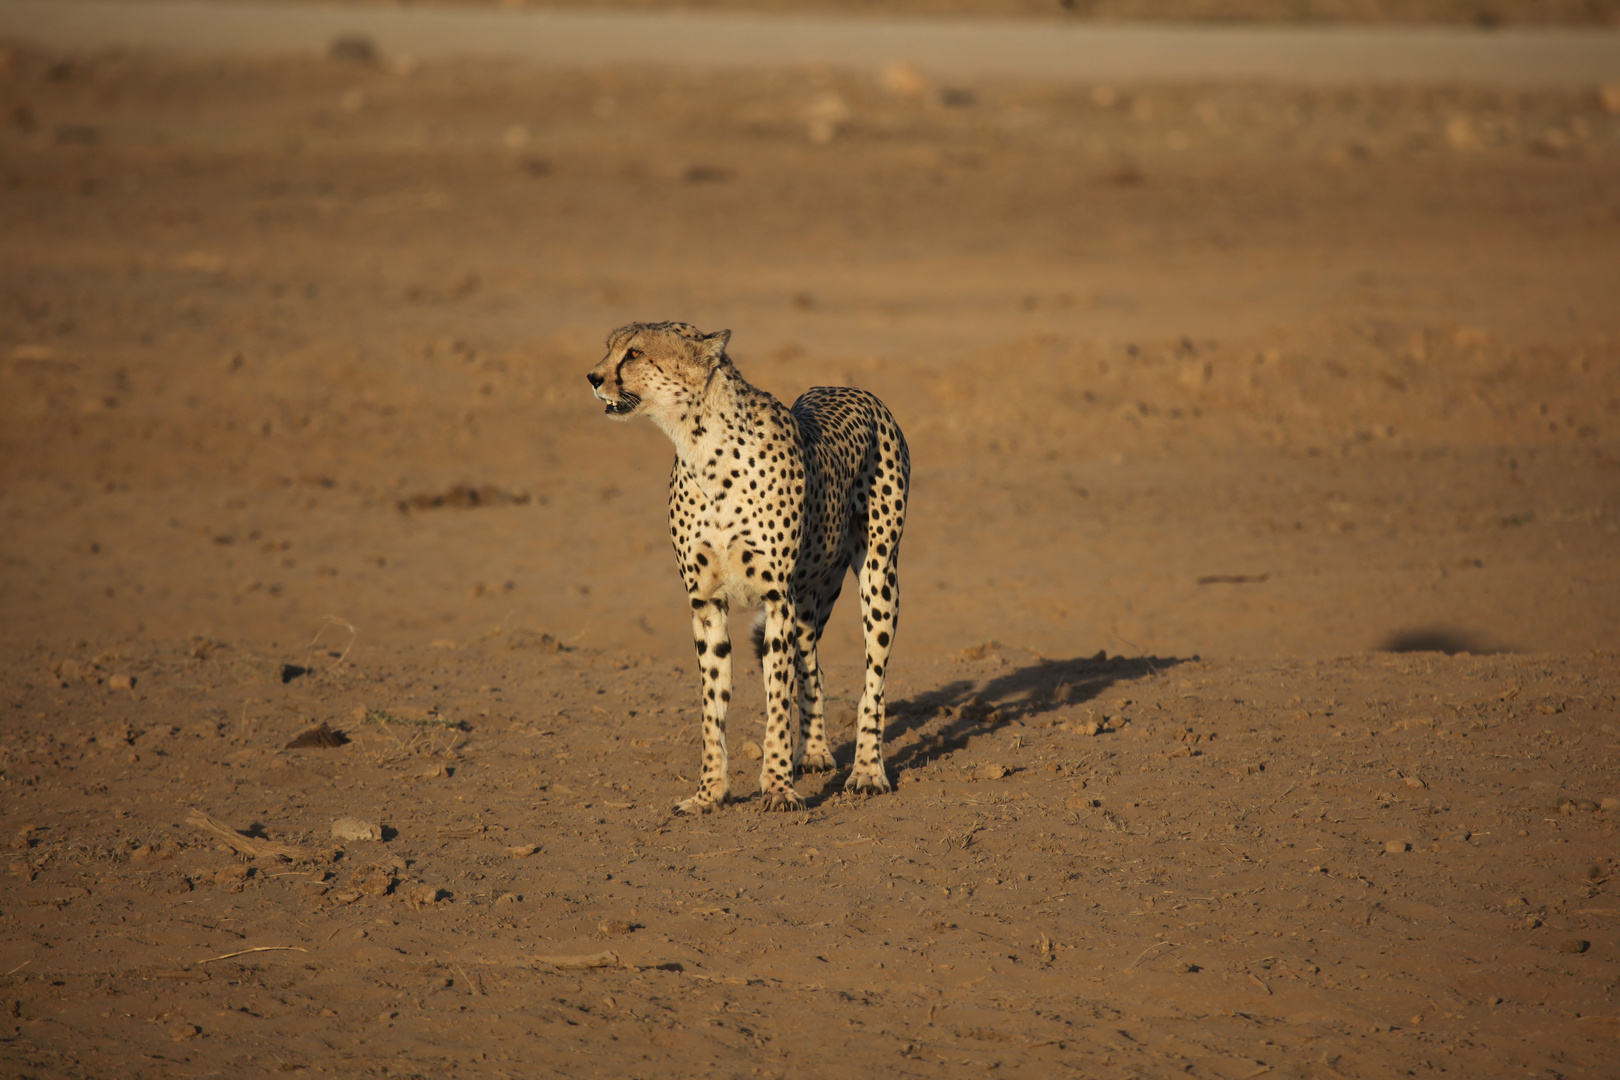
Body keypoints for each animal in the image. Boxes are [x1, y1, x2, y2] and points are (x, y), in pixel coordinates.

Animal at [586, 325, 913, 816]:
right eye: (610, 348)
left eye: (635, 353)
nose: (592, 377)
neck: (702, 447)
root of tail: (851, 389)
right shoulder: (706, 603)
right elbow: (713, 705)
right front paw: (709, 793)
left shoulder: (777, 599)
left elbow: (776, 700)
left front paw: (777, 787)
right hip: (811, 594)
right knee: (811, 664)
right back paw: (815, 752)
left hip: (878, 576)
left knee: (872, 681)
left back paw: (868, 772)